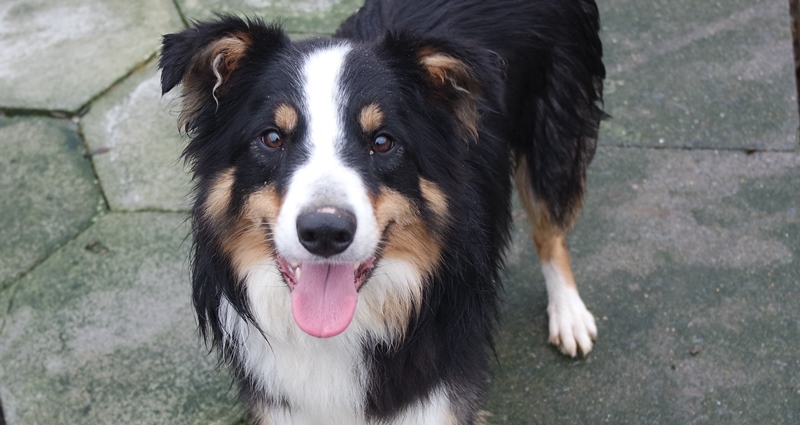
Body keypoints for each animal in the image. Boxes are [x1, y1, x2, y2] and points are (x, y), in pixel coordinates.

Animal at [159, 1, 604, 422]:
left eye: (382, 141)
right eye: (272, 138)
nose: (325, 232)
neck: (341, 333)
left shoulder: (439, 398)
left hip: (555, 137)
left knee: (549, 227)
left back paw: (569, 314)